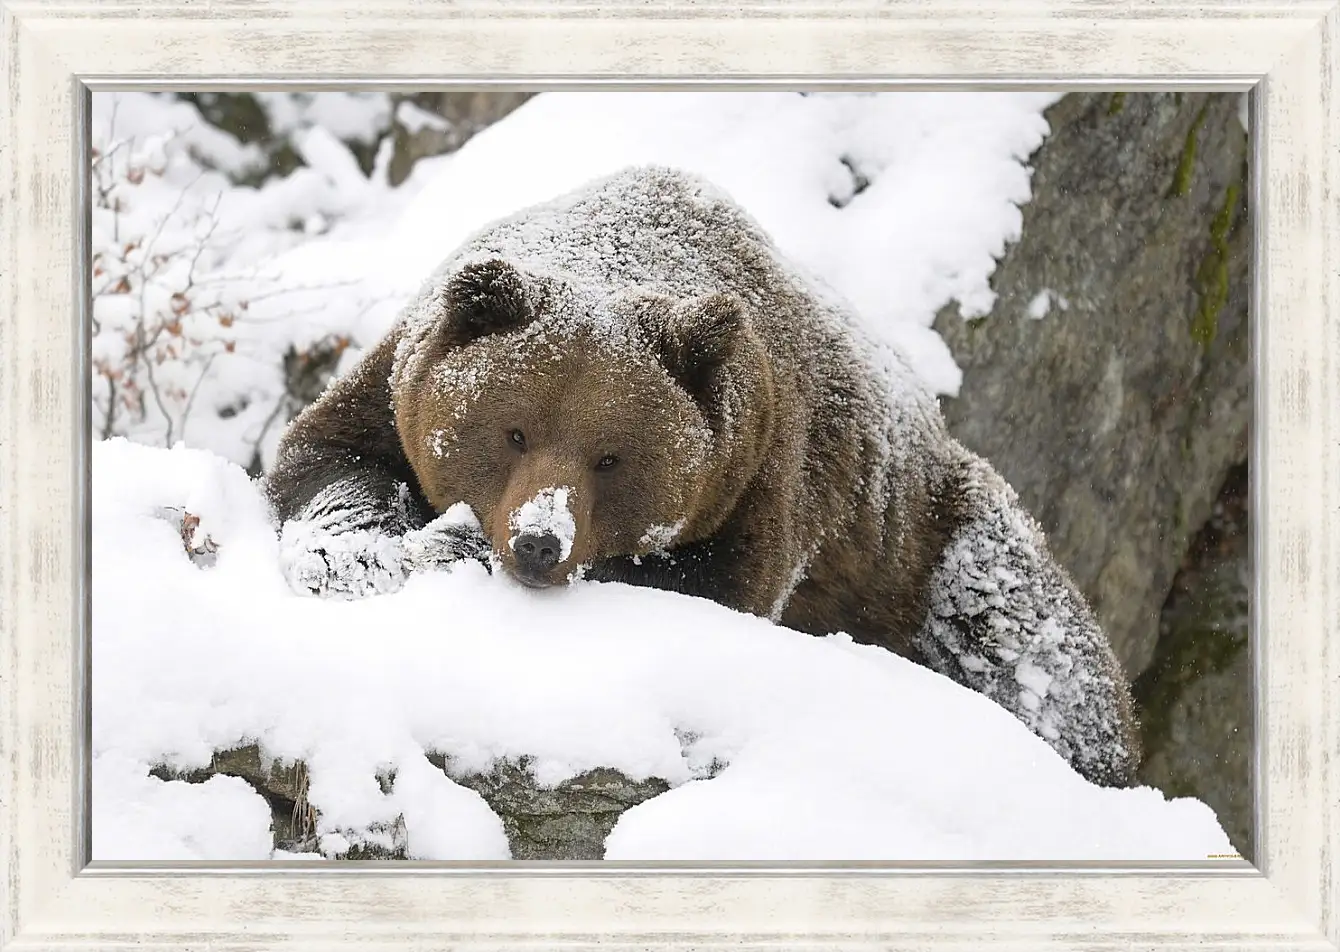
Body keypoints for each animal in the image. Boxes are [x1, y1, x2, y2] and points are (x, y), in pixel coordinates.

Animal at [263, 166, 1141, 788]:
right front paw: (372, 549)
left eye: (611, 456)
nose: (541, 541)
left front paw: (457, 547)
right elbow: (329, 463)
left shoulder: (761, 476)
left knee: (1030, 647)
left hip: (930, 542)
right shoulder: (394, 383)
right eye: (513, 431)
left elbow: (708, 586)